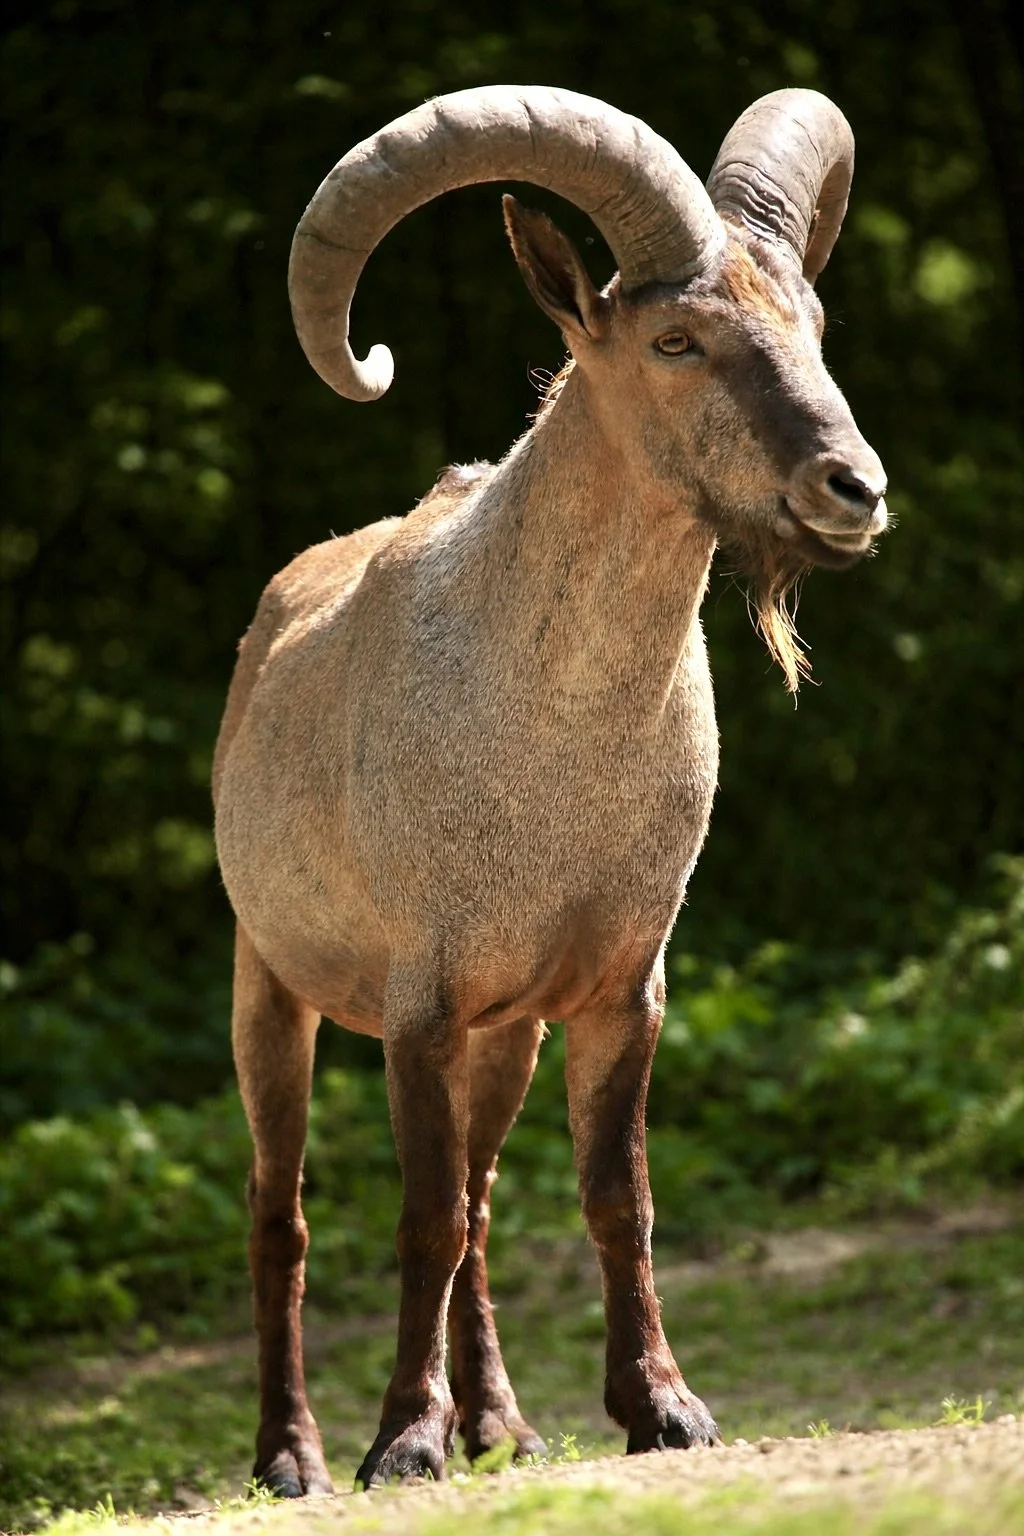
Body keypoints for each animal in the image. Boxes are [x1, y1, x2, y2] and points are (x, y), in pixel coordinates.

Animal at [212, 85, 888, 1494]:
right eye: (677, 338)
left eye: (809, 325)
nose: (853, 488)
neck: (550, 751)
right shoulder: (418, 1001)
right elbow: (416, 1218)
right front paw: (399, 1442)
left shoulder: (617, 986)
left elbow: (609, 1197)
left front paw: (662, 1408)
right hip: (269, 982)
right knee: (279, 1210)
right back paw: (293, 1453)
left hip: (506, 1034)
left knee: (478, 1200)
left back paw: (503, 1427)